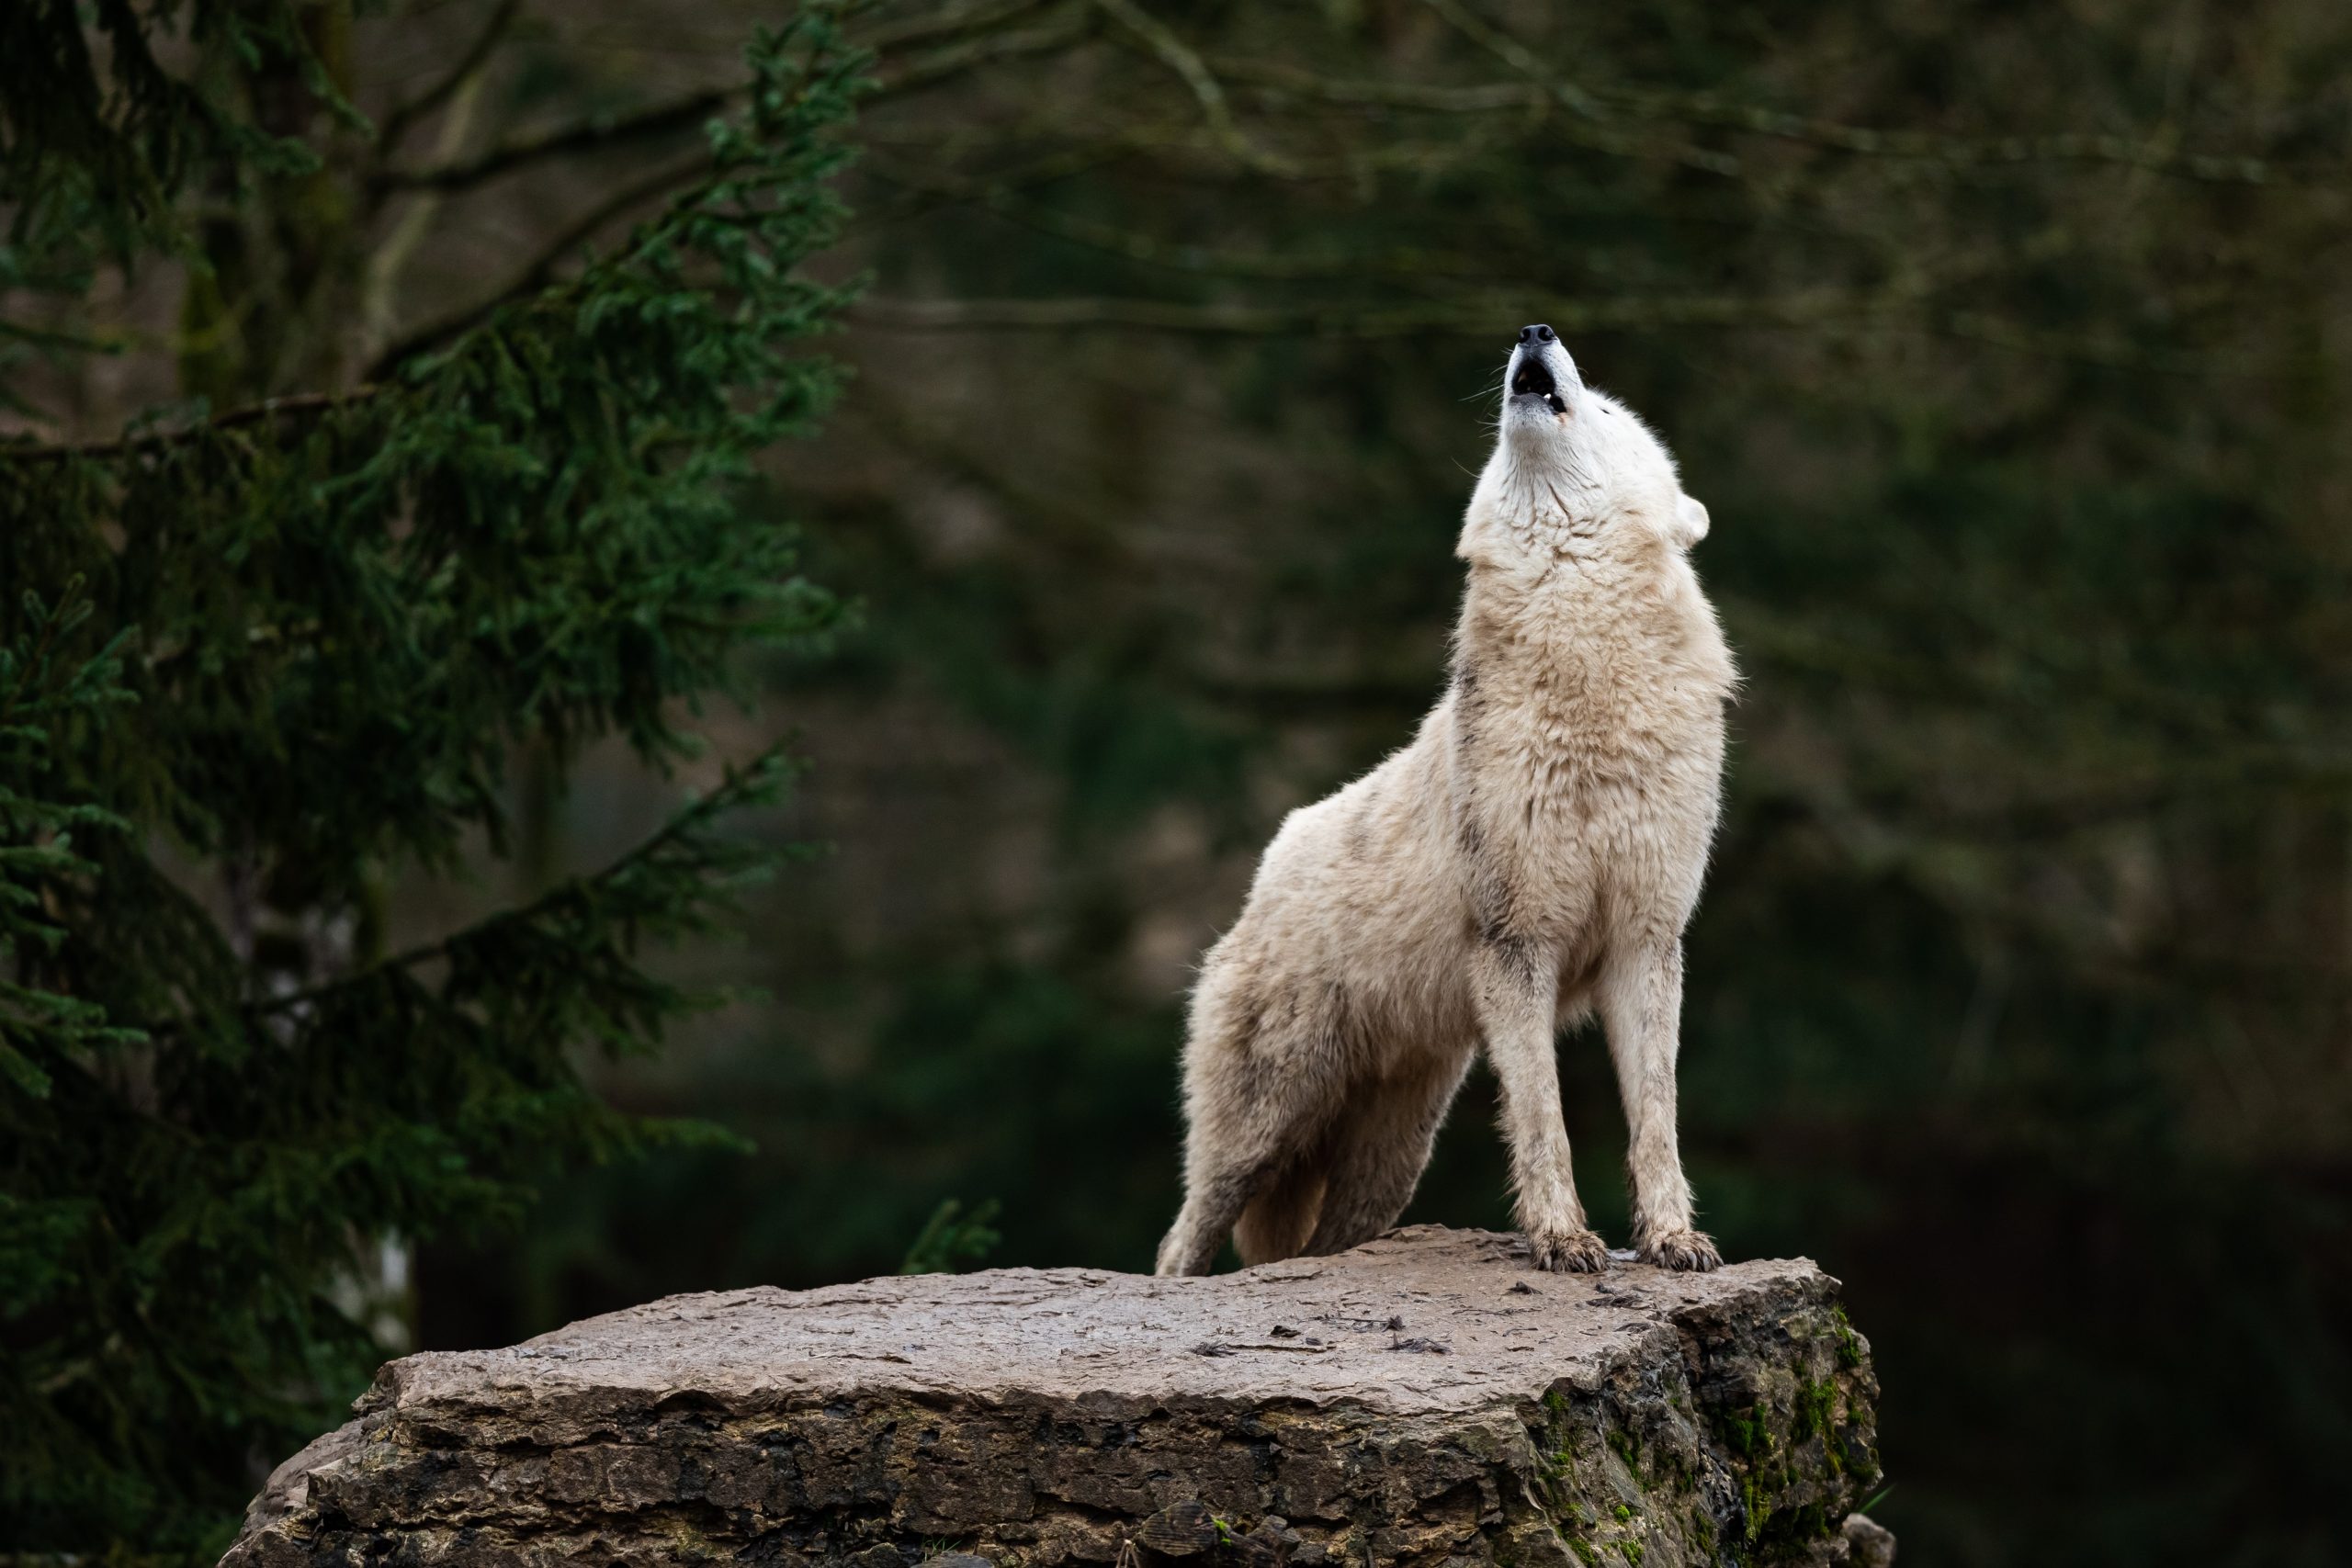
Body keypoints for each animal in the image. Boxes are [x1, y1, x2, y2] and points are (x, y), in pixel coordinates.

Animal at [1154, 324, 1736, 1275]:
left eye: (1607, 410)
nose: (1535, 331)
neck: (1586, 675)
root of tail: (1264, 874)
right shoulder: (1518, 944)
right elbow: (1543, 1119)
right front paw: (1563, 1238)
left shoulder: (1645, 944)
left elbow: (1657, 1117)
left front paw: (1670, 1238)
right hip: (1263, 1127)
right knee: (1181, 1241)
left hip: (1387, 1159)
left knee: (1324, 1243)